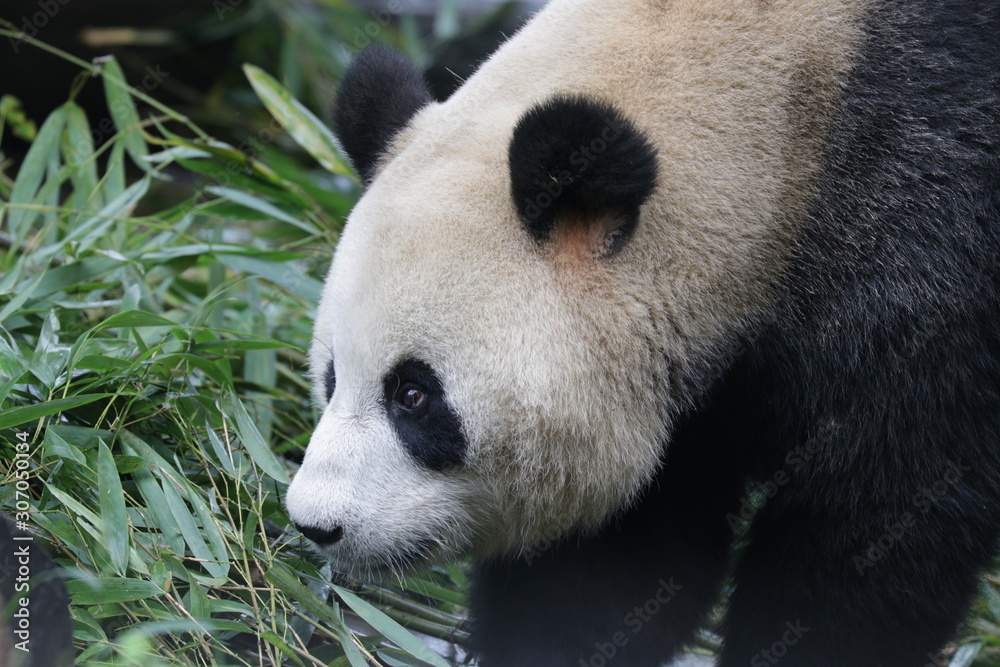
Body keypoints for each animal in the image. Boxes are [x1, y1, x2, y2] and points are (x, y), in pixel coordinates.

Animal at [285, 0, 1000, 664]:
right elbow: (621, 563)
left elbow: (869, 531)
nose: (316, 524)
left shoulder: (926, 235)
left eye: (413, 395)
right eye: (331, 377)